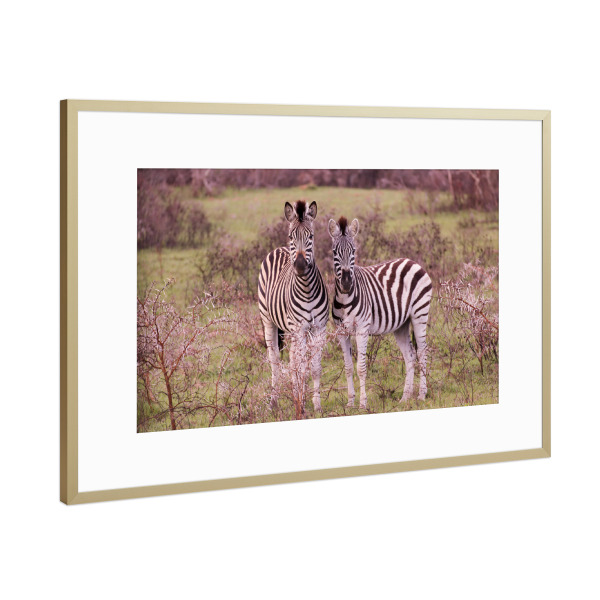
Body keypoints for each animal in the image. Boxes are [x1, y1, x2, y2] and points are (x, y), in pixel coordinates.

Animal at [258, 200, 329, 413]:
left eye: (311, 236)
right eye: (291, 236)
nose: (299, 266)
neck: (306, 289)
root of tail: (278, 249)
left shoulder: (319, 328)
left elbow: (314, 368)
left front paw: (316, 405)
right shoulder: (299, 329)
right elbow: (301, 367)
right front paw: (302, 404)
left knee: (292, 359)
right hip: (269, 321)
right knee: (275, 360)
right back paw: (273, 402)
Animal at [328, 216, 433, 408]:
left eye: (353, 251)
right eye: (334, 252)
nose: (346, 283)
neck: (345, 298)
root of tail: (412, 261)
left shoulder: (362, 329)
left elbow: (361, 368)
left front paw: (363, 404)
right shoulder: (341, 332)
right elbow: (348, 368)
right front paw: (350, 402)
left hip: (420, 313)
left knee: (422, 352)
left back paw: (421, 395)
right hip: (401, 324)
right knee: (410, 356)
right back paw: (405, 397)